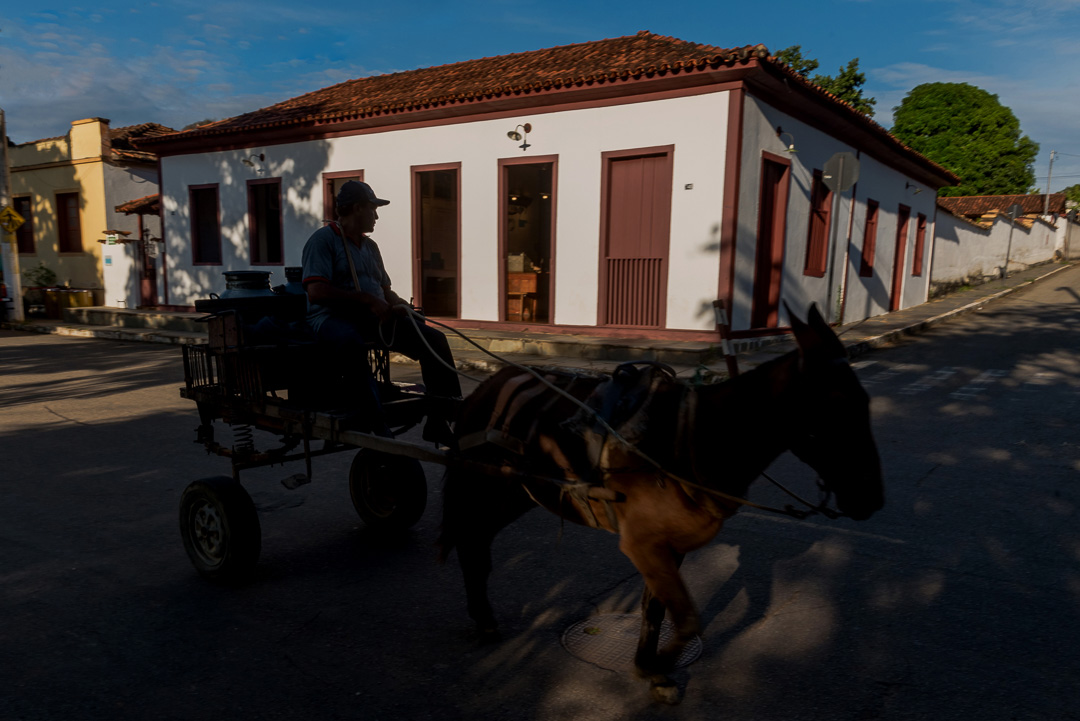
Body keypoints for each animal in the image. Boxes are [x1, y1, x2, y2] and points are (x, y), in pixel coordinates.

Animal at [438, 302, 885, 699]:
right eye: (838, 407)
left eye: (865, 402)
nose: (873, 499)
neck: (696, 437)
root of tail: (484, 388)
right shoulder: (642, 544)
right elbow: (686, 621)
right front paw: (659, 665)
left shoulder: (669, 546)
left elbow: (656, 609)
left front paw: (651, 668)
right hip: (484, 485)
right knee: (470, 541)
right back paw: (483, 619)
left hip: (518, 492)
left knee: (476, 541)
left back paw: (483, 617)